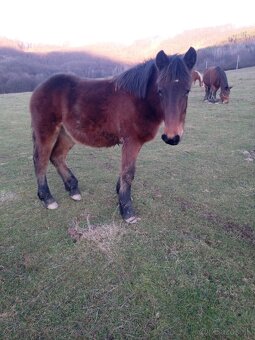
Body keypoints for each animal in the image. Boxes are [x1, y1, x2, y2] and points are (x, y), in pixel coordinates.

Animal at [30, 47, 197, 223]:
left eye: (187, 91)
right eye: (160, 91)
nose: (172, 137)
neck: (139, 100)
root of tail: (39, 88)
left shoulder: (133, 143)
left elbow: (125, 171)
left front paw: (120, 195)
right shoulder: (131, 141)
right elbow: (128, 173)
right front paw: (127, 210)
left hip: (67, 134)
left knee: (57, 156)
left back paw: (73, 189)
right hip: (46, 131)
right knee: (41, 160)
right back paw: (48, 199)